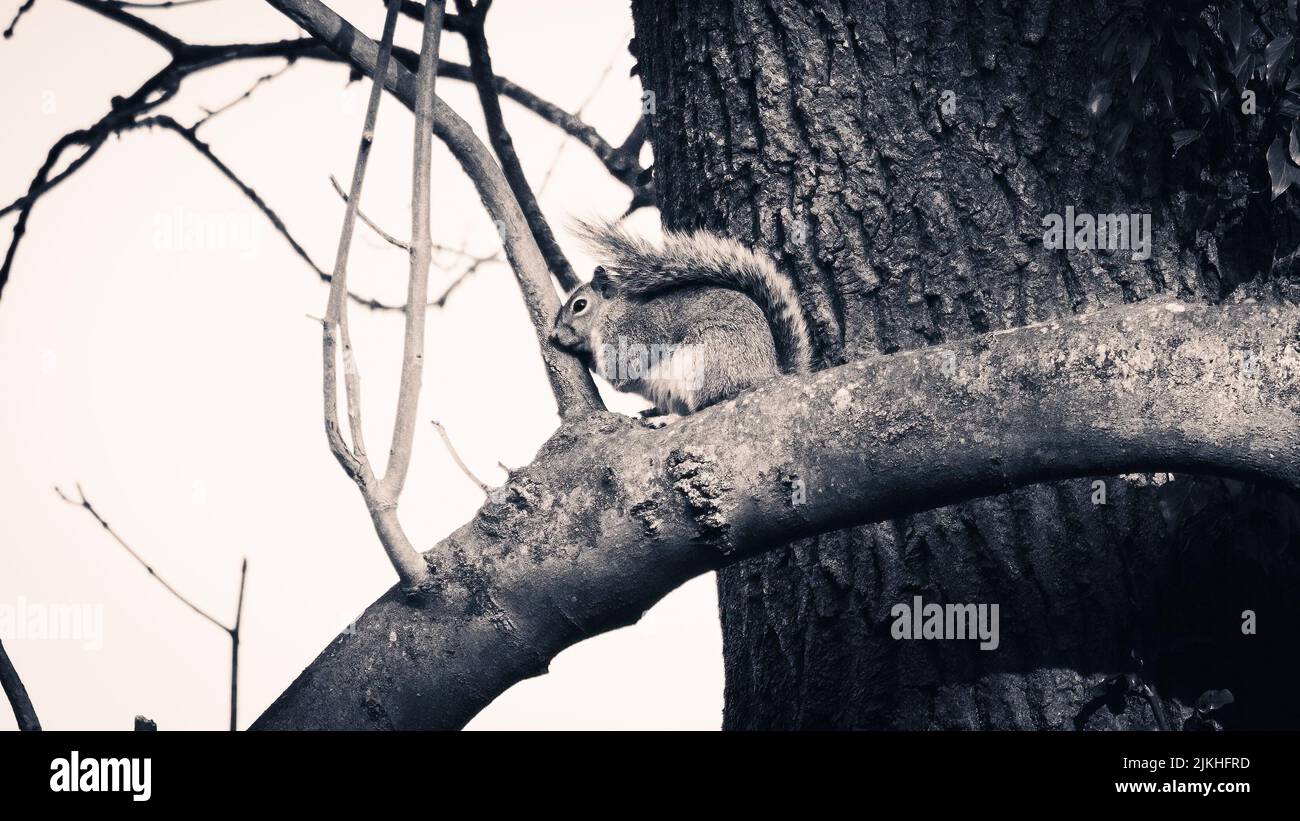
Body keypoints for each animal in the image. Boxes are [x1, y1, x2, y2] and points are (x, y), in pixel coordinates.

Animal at [549, 219, 812, 417]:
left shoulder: (634, 334)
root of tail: (771, 373)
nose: (554, 334)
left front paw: (589, 359)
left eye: (579, 305)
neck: (608, 314)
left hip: (711, 356)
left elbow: (622, 372)